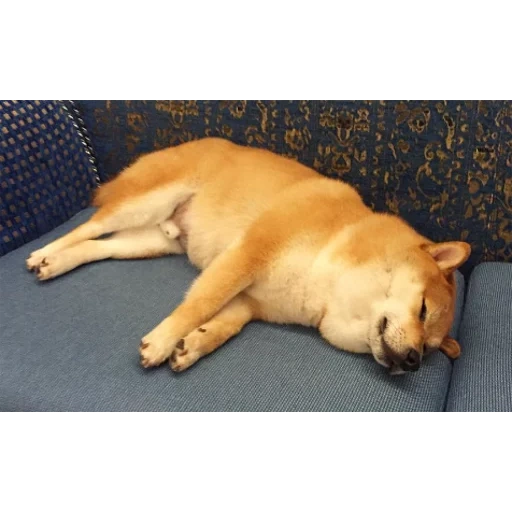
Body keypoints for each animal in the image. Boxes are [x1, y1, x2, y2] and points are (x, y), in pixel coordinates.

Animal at [26, 138, 470, 374]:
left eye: (430, 349)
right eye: (424, 310)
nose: (412, 361)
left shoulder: (251, 303)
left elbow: (225, 324)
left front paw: (193, 345)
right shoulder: (248, 255)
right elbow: (201, 303)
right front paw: (163, 340)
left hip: (151, 241)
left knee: (98, 245)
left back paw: (58, 263)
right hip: (147, 201)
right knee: (87, 227)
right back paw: (44, 253)